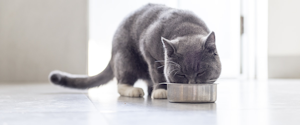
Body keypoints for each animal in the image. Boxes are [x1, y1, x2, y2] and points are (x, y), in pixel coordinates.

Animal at [49, 3, 221, 98]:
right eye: (181, 75)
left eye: (201, 72)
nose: (192, 83)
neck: (187, 29)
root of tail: (112, 54)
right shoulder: (149, 50)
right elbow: (158, 73)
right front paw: (161, 90)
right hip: (126, 59)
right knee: (121, 82)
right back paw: (134, 90)